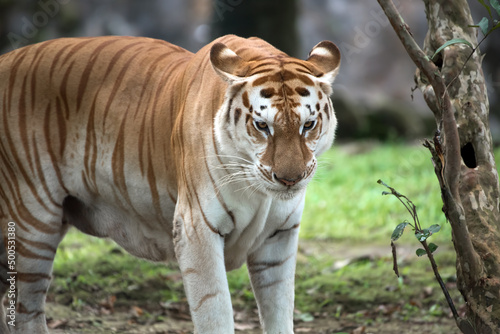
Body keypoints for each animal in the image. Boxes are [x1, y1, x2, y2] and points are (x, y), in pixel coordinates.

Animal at [0, 35, 340, 332]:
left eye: (308, 125)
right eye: (261, 126)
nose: (290, 179)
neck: (259, 193)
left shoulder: (279, 236)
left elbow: (280, 311)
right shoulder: (196, 228)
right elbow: (215, 311)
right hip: (32, 224)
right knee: (24, 311)